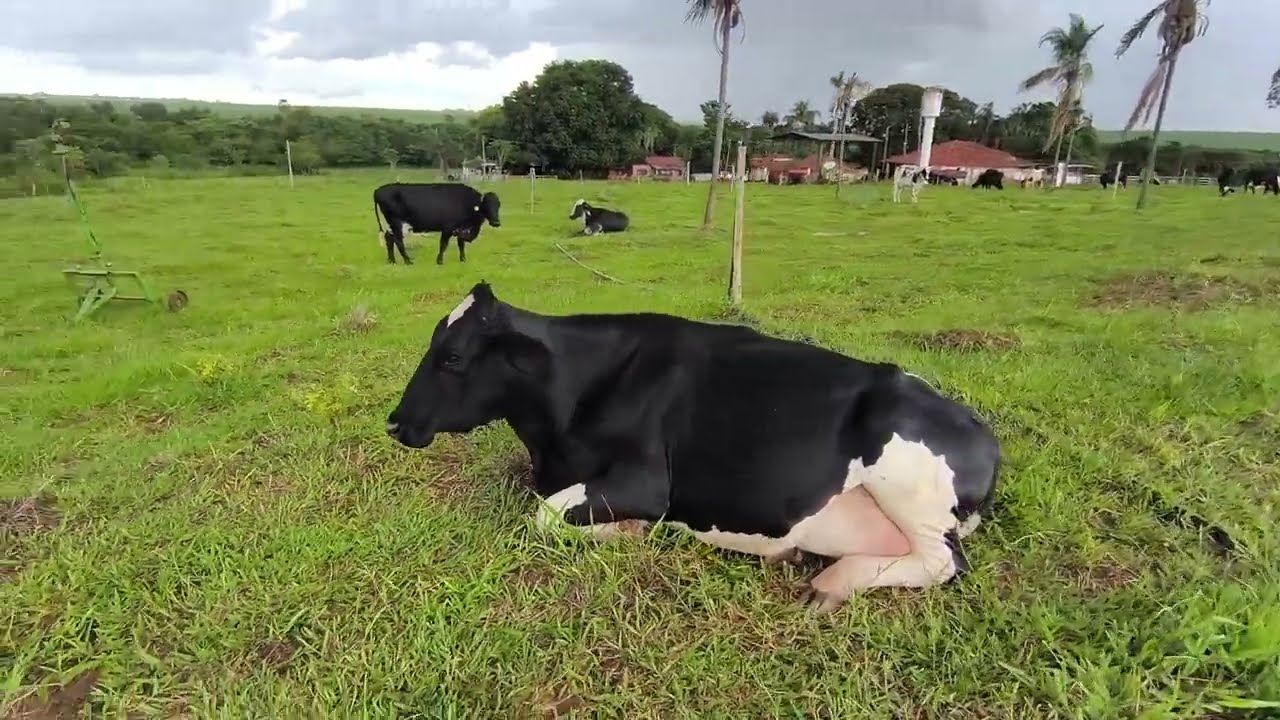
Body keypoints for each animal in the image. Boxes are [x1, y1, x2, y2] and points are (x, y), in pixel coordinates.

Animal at [373, 182, 501, 265]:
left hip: (389, 225)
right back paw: (408, 261)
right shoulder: (448, 227)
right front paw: (439, 261)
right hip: (397, 223)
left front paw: (463, 260)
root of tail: (378, 190)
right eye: (487, 205)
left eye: (498, 205)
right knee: (398, 241)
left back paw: (392, 261)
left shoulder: (460, 228)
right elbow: (443, 245)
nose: (496, 222)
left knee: (389, 239)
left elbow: (461, 244)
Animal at [385, 281, 1002, 614]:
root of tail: (980, 429)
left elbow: (543, 516)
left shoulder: (645, 483)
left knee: (943, 562)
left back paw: (831, 581)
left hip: (907, 482)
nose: (393, 423)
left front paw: (627, 531)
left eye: (452, 357)